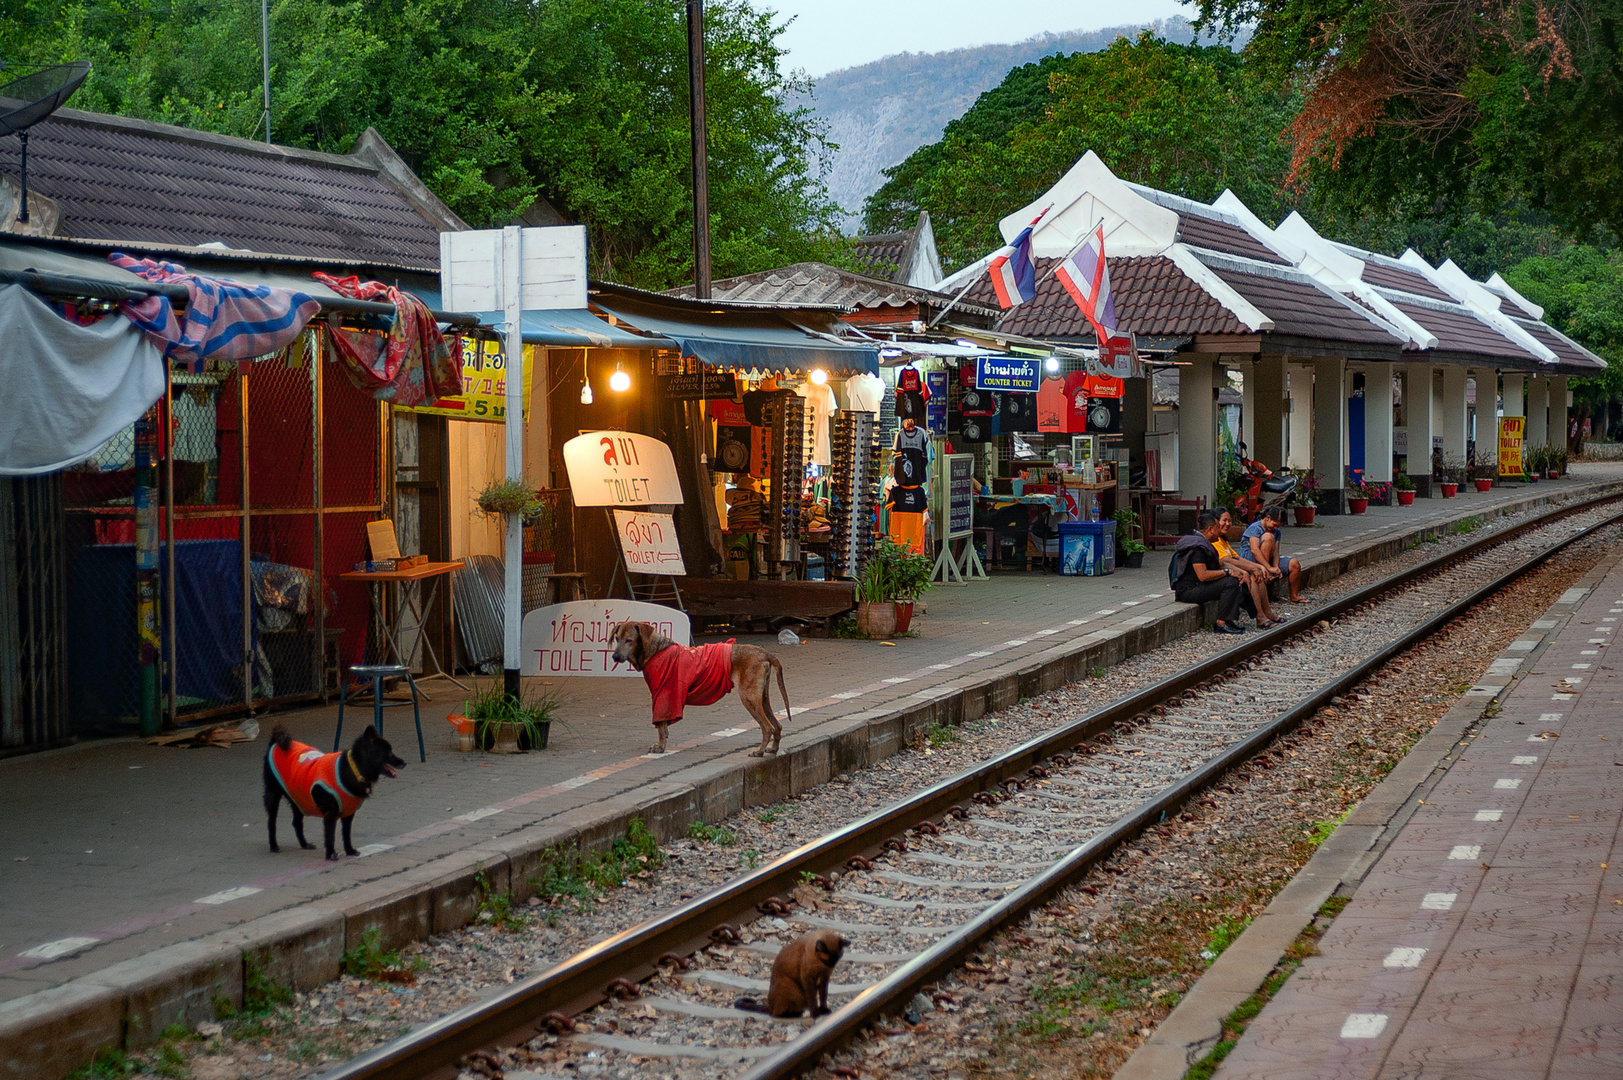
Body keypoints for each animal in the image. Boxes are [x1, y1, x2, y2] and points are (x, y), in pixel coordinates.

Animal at [610, 620, 792, 753]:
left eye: (629, 640)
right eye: (617, 638)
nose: (614, 657)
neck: (655, 650)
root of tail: (764, 653)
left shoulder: (662, 696)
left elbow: (660, 726)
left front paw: (660, 747)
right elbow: (664, 727)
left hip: (749, 697)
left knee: (767, 727)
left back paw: (759, 751)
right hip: (762, 697)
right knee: (777, 725)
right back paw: (772, 749)